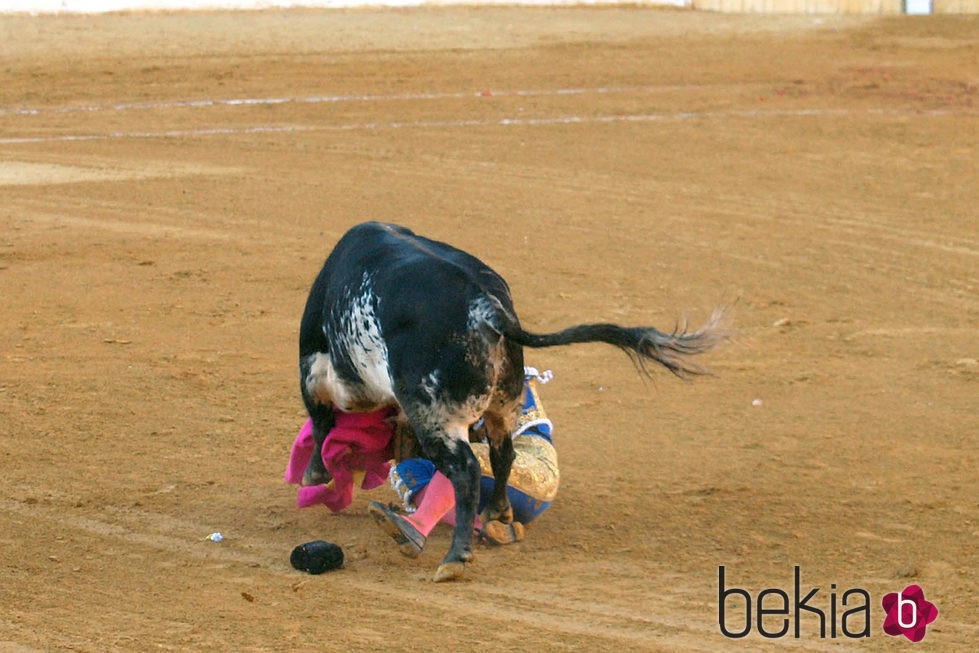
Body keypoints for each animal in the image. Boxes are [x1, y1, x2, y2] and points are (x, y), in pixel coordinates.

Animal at [294, 220, 724, 580]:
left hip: (435, 414)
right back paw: (497, 513)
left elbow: (321, 418)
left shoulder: (319, 368)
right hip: (502, 404)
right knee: (503, 454)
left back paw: (451, 557)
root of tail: (487, 308)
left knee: (466, 469)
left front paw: (315, 473)